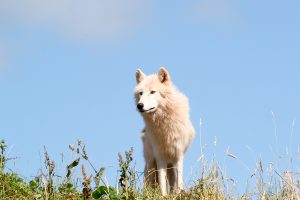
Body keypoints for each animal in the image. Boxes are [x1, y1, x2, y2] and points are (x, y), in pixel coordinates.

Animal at [134, 67, 195, 195]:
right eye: (140, 93)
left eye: (152, 92)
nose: (139, 105)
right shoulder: (160, 156)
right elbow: (162, 182)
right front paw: (163, 196)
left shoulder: (178, 154)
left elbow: (179, 180)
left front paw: (179, 193)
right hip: (151, 163)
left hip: (170, 164)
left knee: (172, 181)